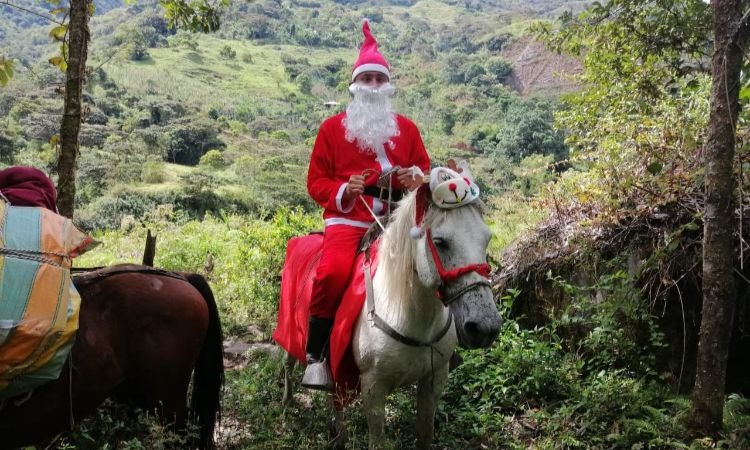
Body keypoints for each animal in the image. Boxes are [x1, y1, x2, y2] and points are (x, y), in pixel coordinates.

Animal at [282, 167, 500, 448]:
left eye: (486, 238)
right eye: (440, 242)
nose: (485, 327)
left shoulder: (434, 380)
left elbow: (425, 433)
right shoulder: (373, 389)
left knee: (334, 396)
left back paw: (337, 434)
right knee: (289, 363)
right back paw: (288, 402)